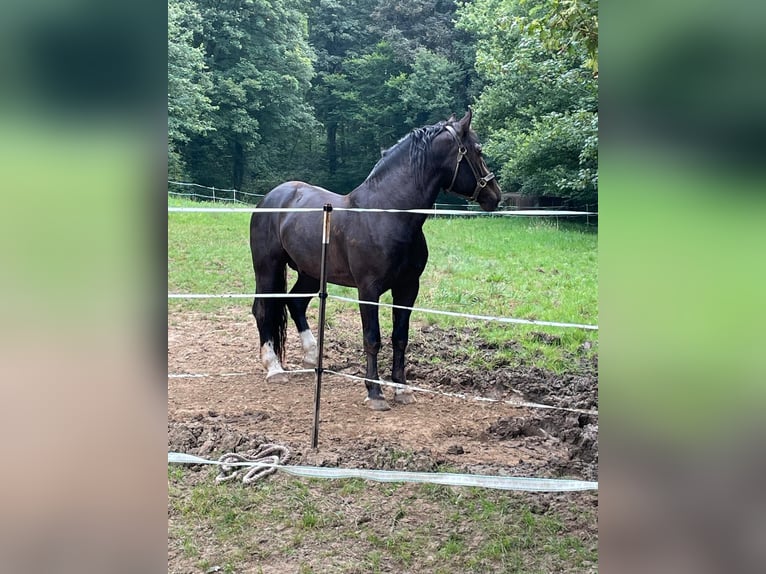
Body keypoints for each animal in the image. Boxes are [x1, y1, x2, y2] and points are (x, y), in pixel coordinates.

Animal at [252, 111, 504, 410]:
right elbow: (372, 338)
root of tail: (271, 197)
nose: (495, 196)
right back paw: (274, 368)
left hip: (310, 273)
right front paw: (375, 393)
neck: (387, 214)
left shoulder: (408, 288)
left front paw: (402, 389)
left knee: (295, 303)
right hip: (267, 269)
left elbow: (400, 338)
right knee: (263, 309)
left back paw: (313, 357)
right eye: (478, 150)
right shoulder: (368, 290)